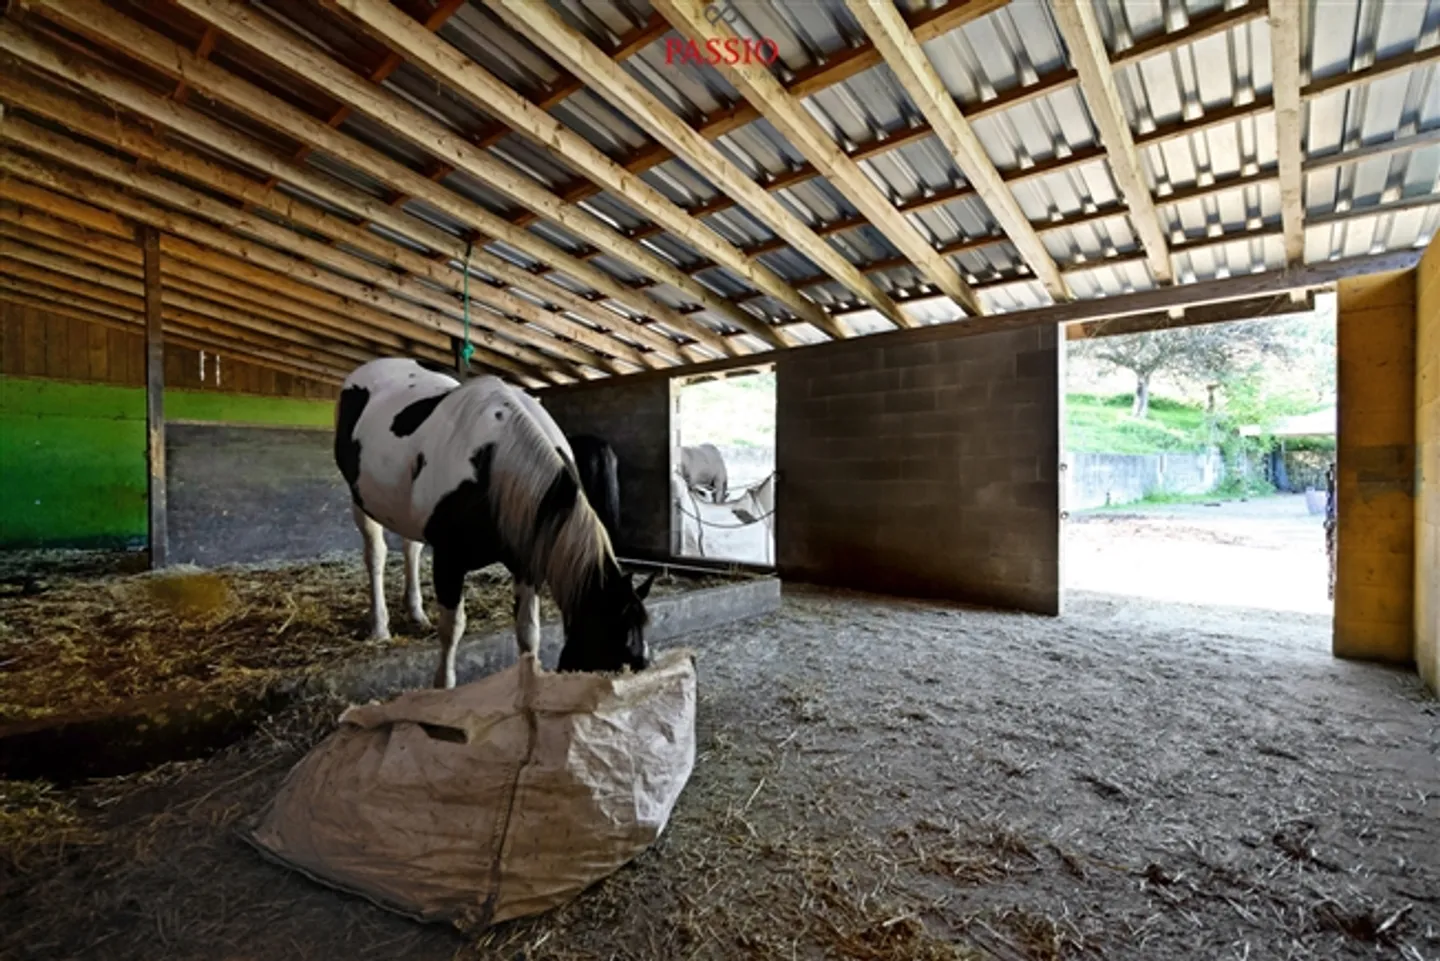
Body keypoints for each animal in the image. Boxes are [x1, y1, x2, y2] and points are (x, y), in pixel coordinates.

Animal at [333, 358, 654, 687]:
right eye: (620, 648)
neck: (494, 462)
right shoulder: (449, 561)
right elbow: (452, 629)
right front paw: (444, 685)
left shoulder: (528, 562)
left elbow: (528, 632)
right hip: (362, 503)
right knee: (376, 555)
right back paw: (380, 627)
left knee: (411, 549)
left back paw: (416, 613)